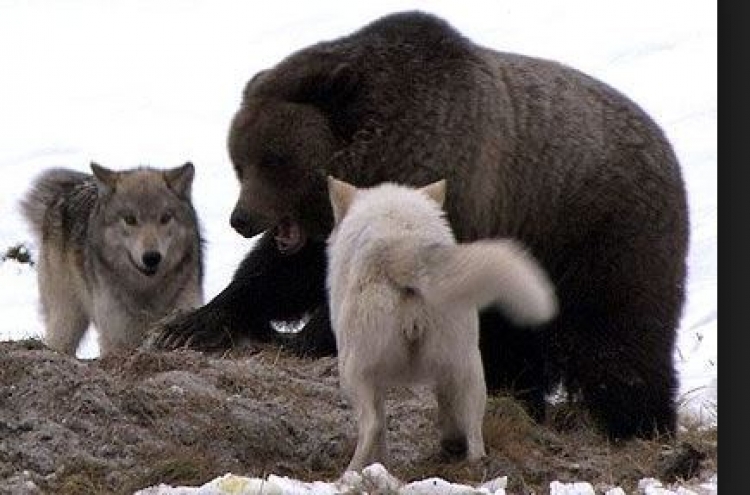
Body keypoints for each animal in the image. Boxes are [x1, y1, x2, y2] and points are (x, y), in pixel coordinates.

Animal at [20, 163, 204, 356]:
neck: (146, 290)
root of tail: (67, 191)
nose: (152, 257)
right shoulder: (116, 340)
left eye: (165, 217)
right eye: (130, 219)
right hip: (66, 323)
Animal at [150, 9, 692, 440]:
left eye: (275, 159)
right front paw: (191, 325)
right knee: (516, 344)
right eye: (240, 160)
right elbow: (278, 275)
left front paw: (302, 342)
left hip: (603, 239)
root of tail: (669, 151)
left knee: (620, 342)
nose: (242, 219)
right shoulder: (329, 228)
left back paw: (639, 424)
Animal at [328, 177, 560, 472]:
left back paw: (351, 473)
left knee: (372, 425)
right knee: (474, 435)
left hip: (352, 374)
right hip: (468, 368)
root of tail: (402, 248)